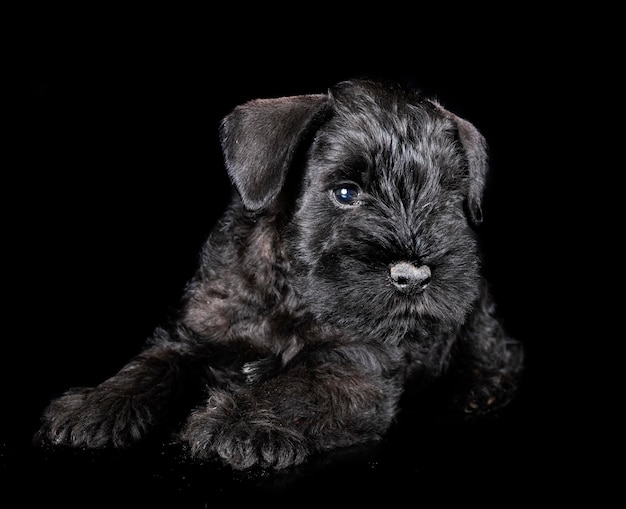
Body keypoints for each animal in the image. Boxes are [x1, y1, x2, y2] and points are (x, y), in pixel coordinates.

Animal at [35, 78, 520, 468]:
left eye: (445, 197)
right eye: (345, 192)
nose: (413, 276)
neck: (289, 291)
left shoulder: (352, 367)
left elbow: (291, 388)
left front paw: (239, 422)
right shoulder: (195, 332)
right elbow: (150, 364)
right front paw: (95, 404)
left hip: (475, 307)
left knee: (495, 347)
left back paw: (479, 388)